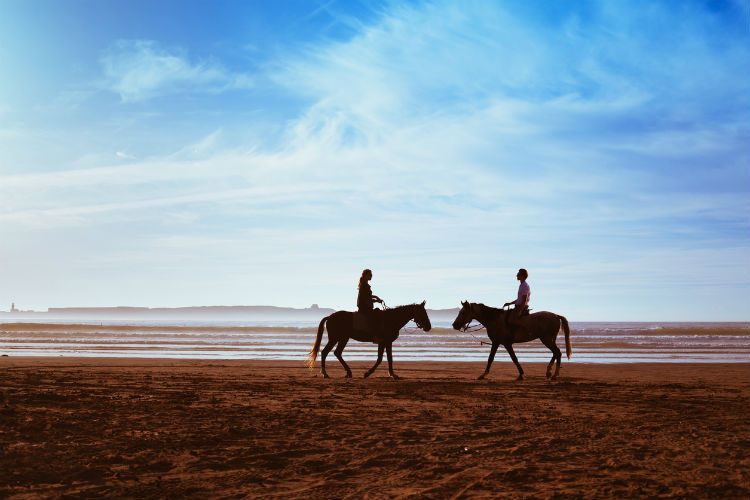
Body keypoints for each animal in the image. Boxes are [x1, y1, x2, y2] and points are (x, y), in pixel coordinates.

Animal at [306, 300, 434, 378]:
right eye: (422, 313)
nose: (428, 327)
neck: (391, 319)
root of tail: (330, 317)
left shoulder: (386, 342)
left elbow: (388, 358)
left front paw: (392, 374)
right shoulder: (384, 342)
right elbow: (381, 359)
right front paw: (368, 373)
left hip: (343, 338)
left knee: (337, 353)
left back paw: (348, 372)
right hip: (335, 338)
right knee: (325, 352)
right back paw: (325, 373)